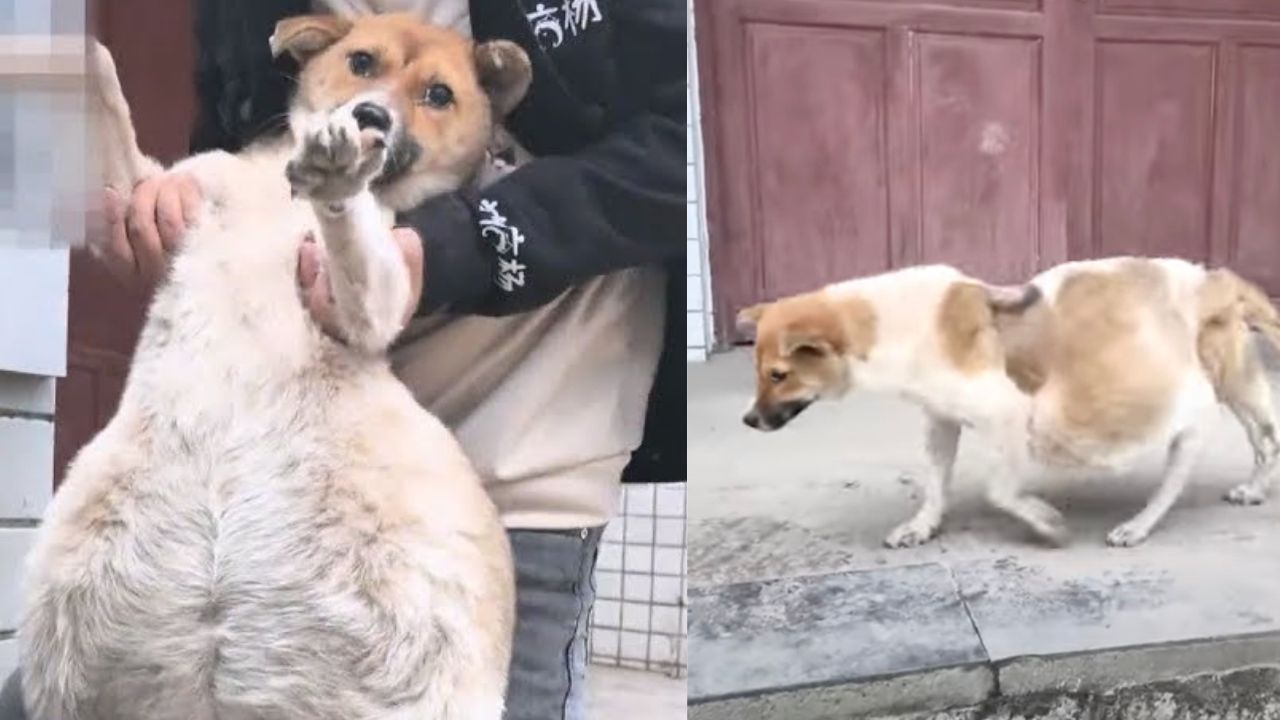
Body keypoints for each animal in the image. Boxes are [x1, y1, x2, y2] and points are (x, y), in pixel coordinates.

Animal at [20, 12, 529, 717]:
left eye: (439, 95)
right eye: (362, 61)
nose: (369, 117)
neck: (278, 194)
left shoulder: (370, 302)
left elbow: (352, 240)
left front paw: (339, 179)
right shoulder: (141, 191)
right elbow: (100, 70)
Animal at [737, 260, 1280, 545]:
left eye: (779, 375)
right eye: (758, 372)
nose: (748, 420)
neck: (896, 323)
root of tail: (1217, 280)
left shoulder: (1010, 413)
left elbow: (1000, 489)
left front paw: (1043, 522)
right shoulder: (940, 420)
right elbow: (935, 484)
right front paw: (922, 526)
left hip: (1193, 404)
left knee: (1182, 470)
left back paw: (1138, 525)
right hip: (1238, 385)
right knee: (1266, 440)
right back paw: (1255, 489)